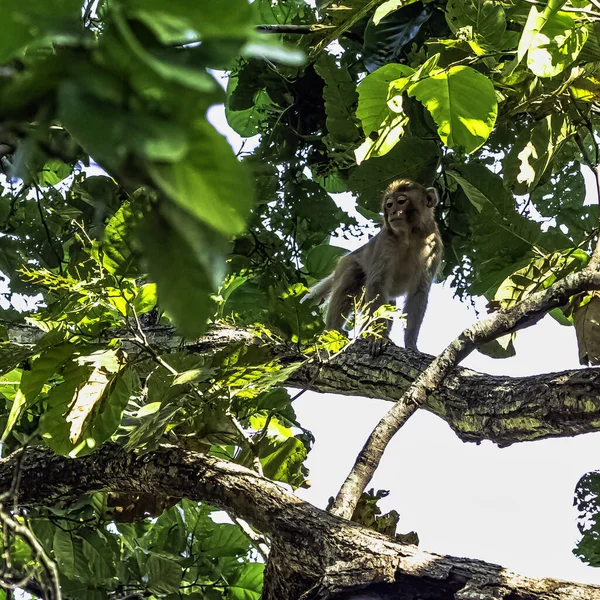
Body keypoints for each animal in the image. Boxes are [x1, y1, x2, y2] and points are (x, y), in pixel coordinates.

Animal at [310, 180, 440, 354]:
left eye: (401, 201)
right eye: (389, 205)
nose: (393, 212)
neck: (409, 236)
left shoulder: (433, 244)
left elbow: (418, 292)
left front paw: (411, 344)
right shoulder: (385, 242)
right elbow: (377, 283)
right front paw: (379, 338)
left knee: (389, 303)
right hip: (347, 264)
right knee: (351, 279)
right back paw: (333, 330)